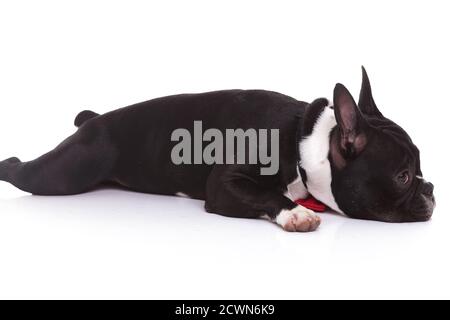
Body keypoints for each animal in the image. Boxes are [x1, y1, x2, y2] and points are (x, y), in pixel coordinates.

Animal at [0, 68, 436, 232]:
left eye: (419, 169)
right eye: (402, 176)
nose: (431, 189)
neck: (304, 144)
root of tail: (97, 120)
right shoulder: (224, 184)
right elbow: (267, 194)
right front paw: (295, 212)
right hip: (66, 171)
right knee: (23, 170)